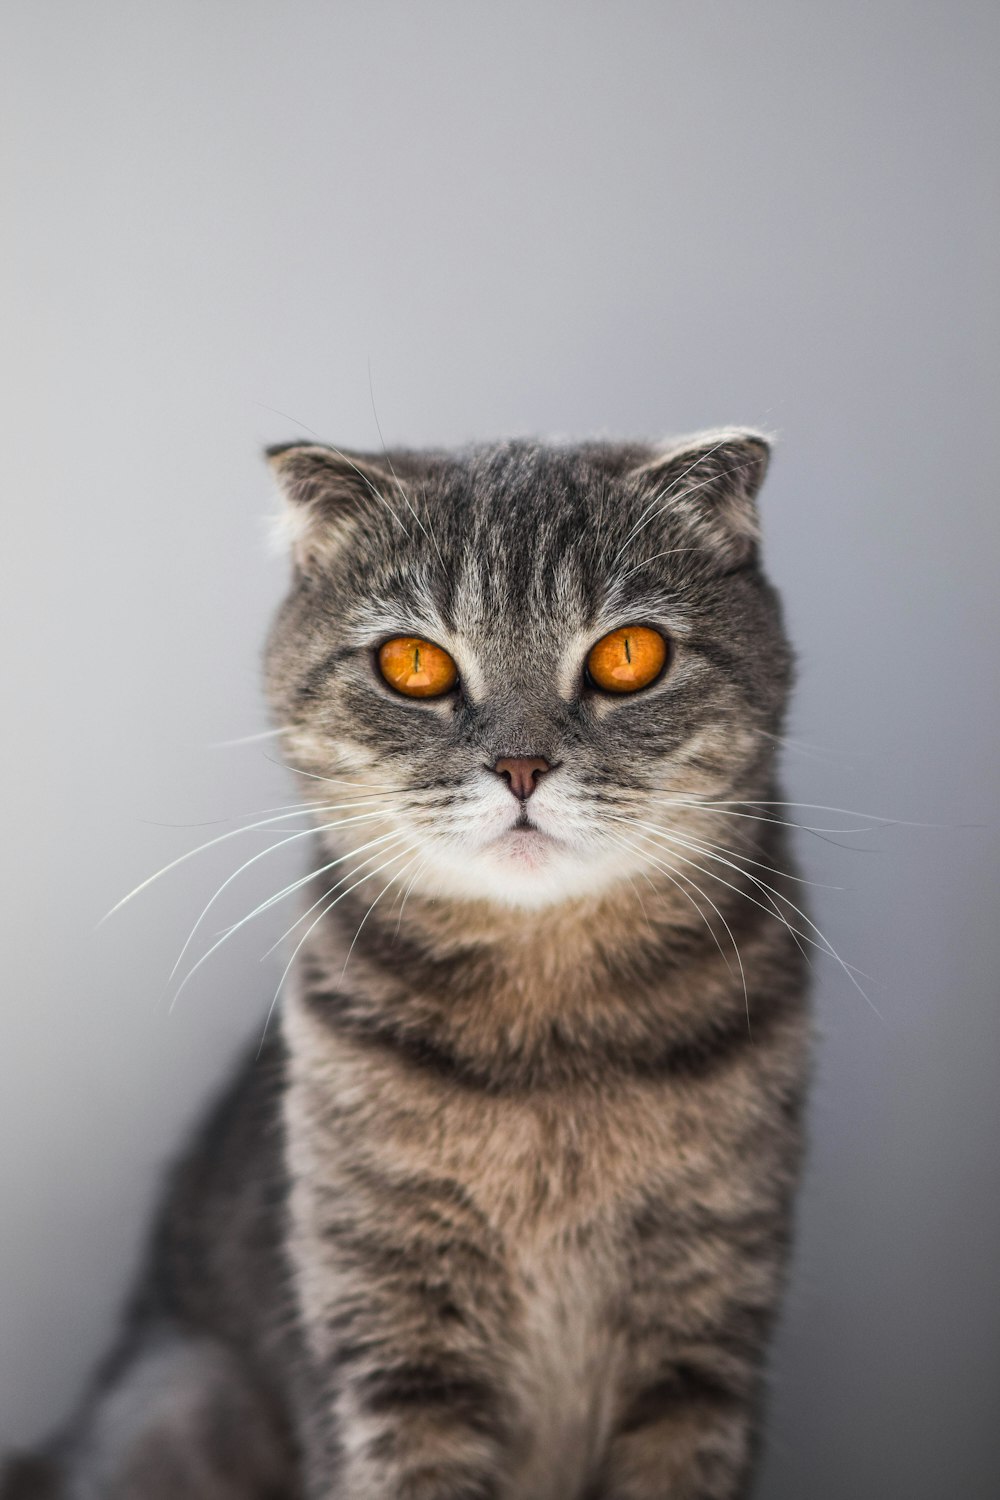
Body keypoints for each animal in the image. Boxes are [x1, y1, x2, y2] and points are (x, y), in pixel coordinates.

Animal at [1, 429, 815, 1494]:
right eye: (414, 661)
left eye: (629, 655)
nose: (521, 767)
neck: (550, 1056)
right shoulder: (387, 1343)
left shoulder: (706, 1337)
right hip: (182, 1400)